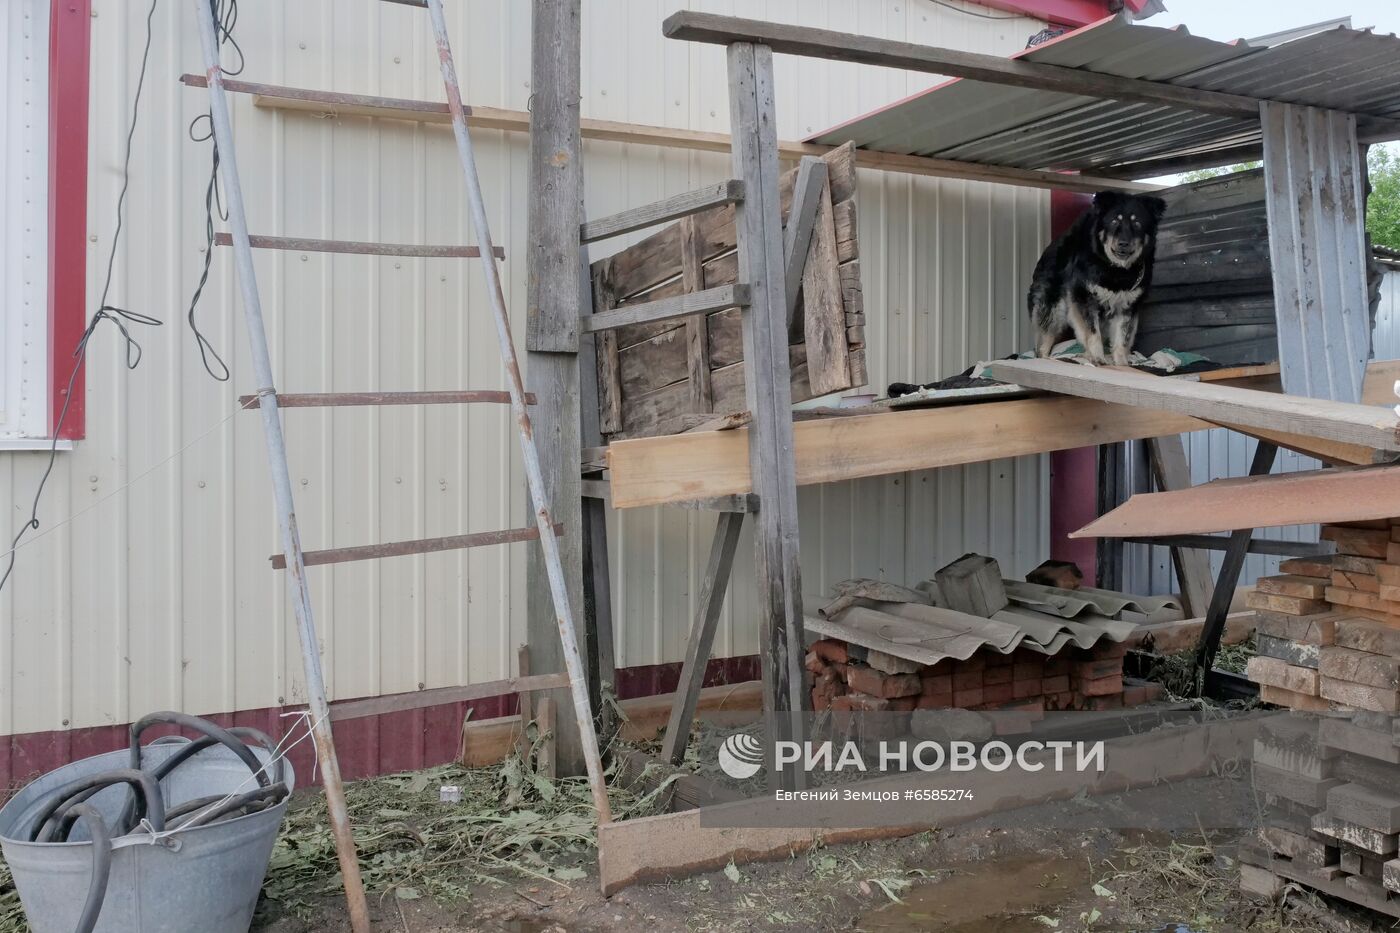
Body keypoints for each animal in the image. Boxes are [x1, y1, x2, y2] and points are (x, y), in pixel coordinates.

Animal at [1027, 191, 1166, 365]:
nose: (1123, 243)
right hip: (1052, 311)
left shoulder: (1127, 307)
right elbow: (1093, 333)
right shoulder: (1085, 299)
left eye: (1137, 223)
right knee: (1043, 343)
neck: (1117, 270)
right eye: (1114, 221)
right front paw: (1098, 358)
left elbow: (1122, 339)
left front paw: (1121, 364)